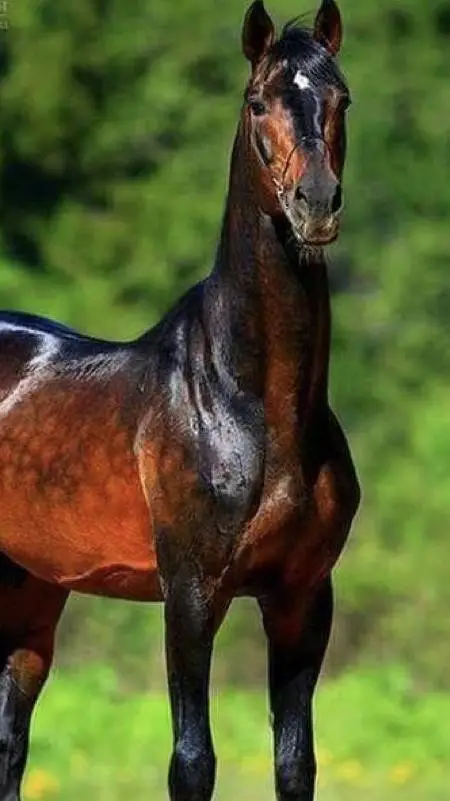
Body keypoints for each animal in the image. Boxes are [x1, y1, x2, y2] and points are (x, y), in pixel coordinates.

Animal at [0, 1, 360, 798]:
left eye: (342, 98)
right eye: (258, 102)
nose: (315, 204)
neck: (250, 405)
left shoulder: (303, 599)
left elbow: (296, 762)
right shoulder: (191, 595)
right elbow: (192, 762)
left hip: (32, 591)